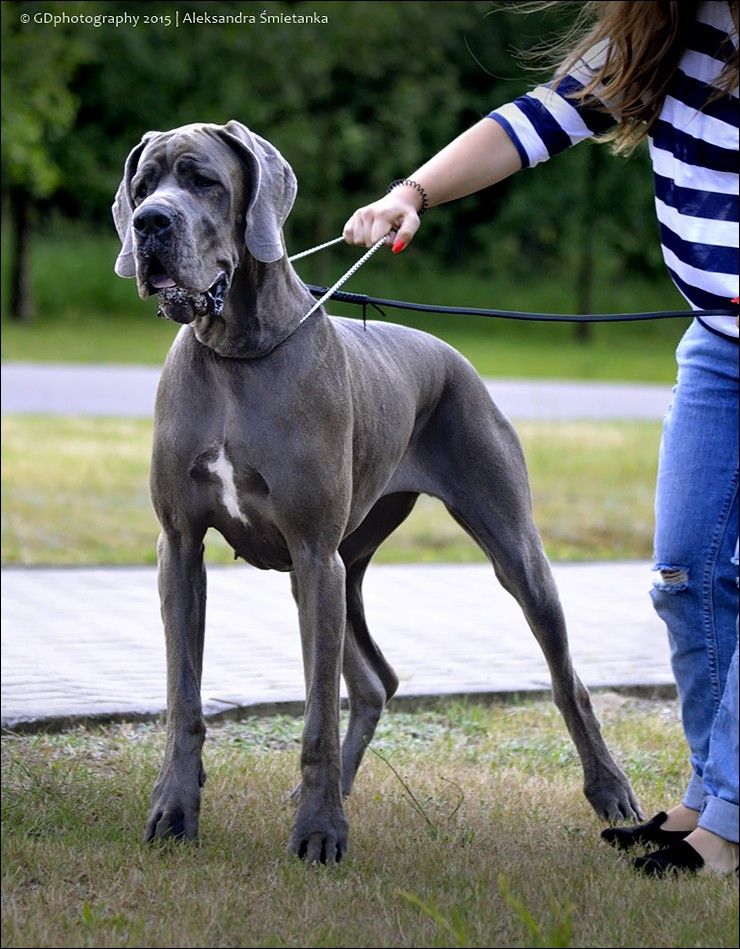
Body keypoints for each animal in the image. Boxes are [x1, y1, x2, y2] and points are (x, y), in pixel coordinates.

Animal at [113, 120, 640, 863]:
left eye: (203, 181)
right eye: (142, 184)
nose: (149, 223)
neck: (236, 351)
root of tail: (450, 353)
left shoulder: (313, 551)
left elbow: (314, 717)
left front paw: (319, 832)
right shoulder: (183, 547)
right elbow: (184, 699)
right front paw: (173, 811)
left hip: (504, 550)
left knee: (568, 681)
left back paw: (611, 792)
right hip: (345, 564)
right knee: (373, 682)